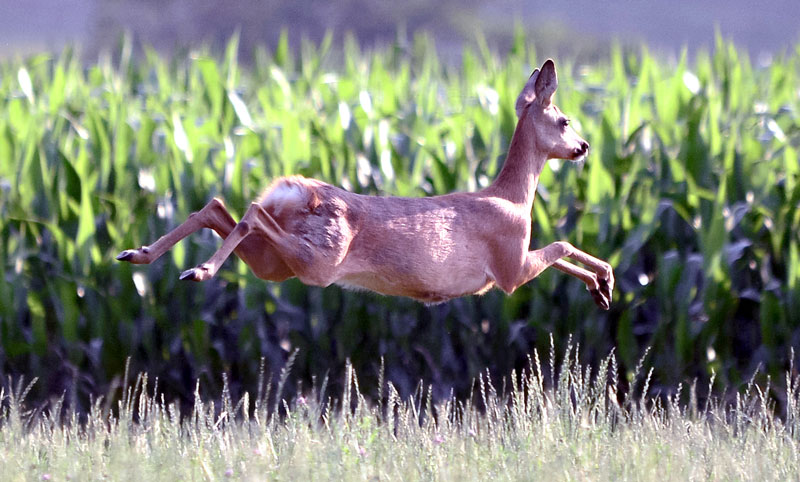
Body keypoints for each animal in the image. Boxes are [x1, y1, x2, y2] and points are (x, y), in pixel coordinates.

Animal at [115, 59, 616, 308]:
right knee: (250, 212)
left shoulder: (512, 266)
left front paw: (601, 288)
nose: (585, 145)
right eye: (565, 120)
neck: (514, 197)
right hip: (319, 259)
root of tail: (294, 192)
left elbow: (561, 257)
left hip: (276, 265)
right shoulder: (509, 267)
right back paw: (197, 270)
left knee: (217, 207)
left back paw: (138, 254)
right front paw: (606, 278)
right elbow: (561, 246)